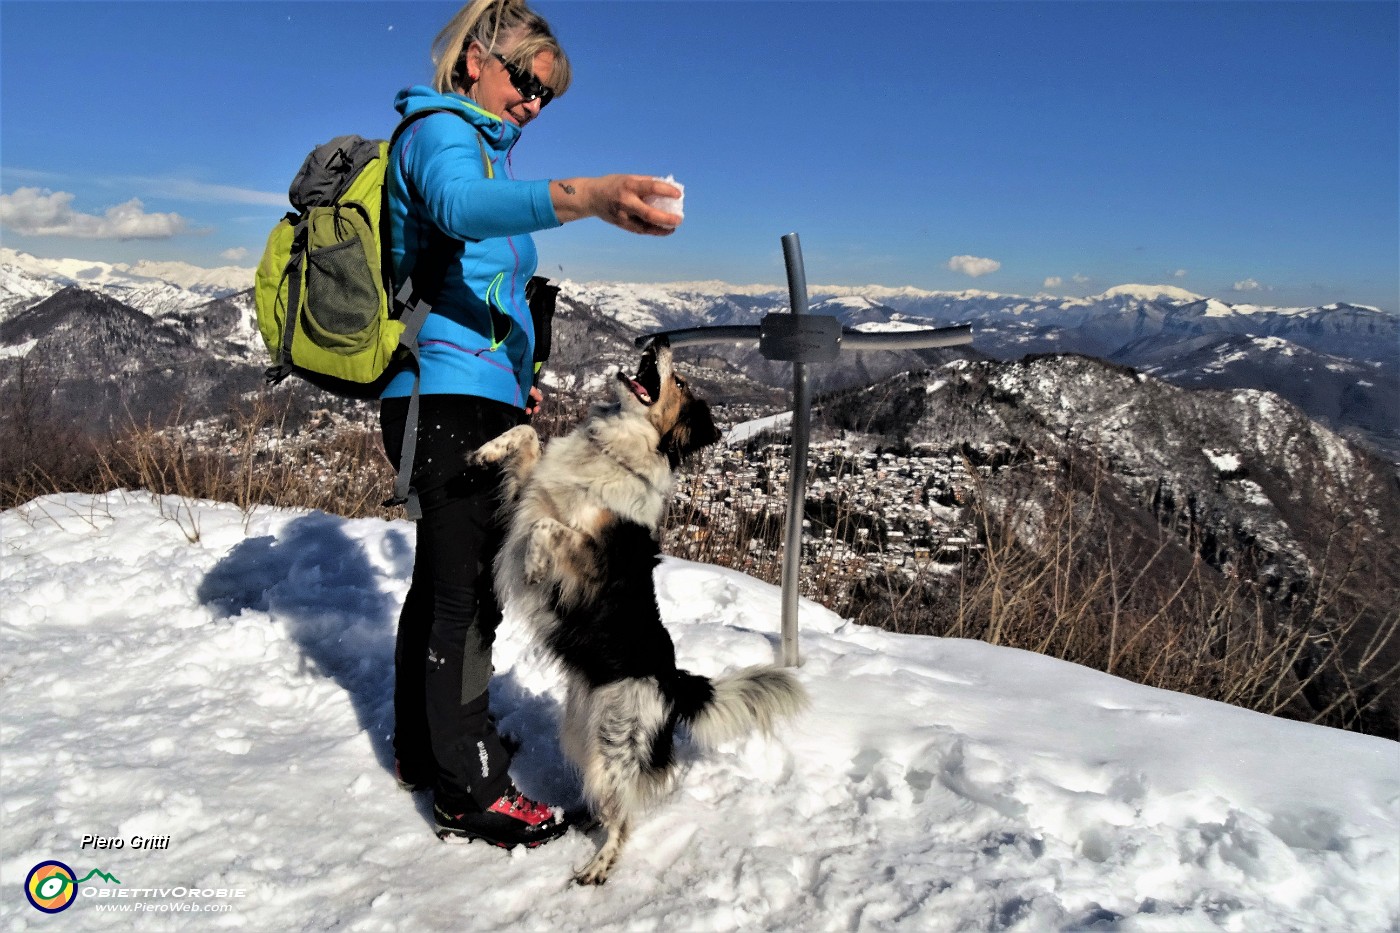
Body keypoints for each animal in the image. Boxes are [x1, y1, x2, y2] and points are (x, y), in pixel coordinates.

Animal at [473, 337, 812, 885]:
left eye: (683, 382)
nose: (661, 340)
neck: (614, 450)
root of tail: (672, 680)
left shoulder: (591, 563)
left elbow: (548, 531)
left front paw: (533, 566)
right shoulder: (530, 492)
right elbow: (528, 437)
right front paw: (488, 449)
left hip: (617, 742)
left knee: (627, 816)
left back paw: (597, 868)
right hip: (583, 733)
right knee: (610, 796)